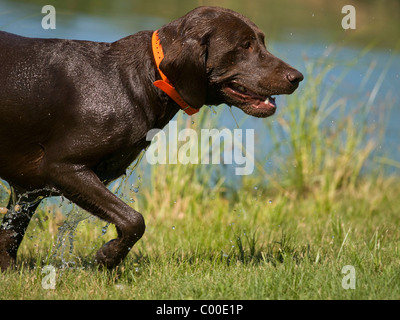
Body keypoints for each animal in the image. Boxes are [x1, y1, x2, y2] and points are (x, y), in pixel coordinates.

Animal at [0, 6, 300, 270]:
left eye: (261, 41)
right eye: (244, 46)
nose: (297, 77)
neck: (144, 77)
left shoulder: (28, 188)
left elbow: (9, 236)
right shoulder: (60, 166)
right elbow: (135, 220)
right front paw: (108, 256)